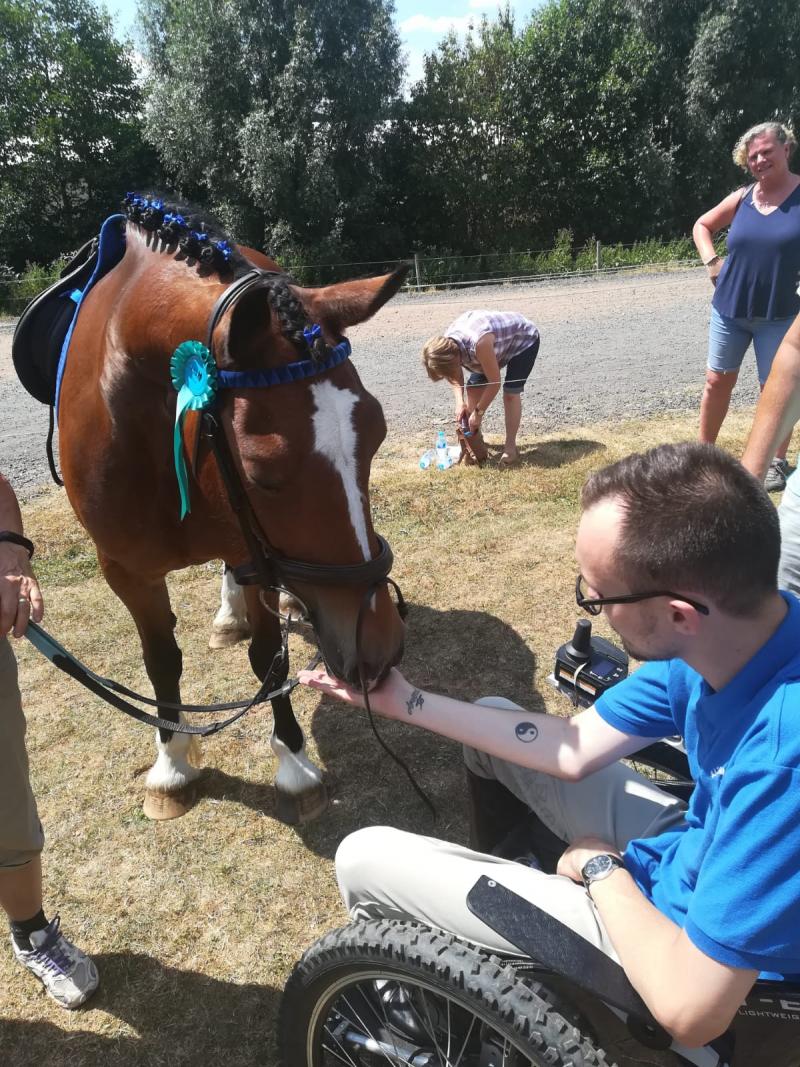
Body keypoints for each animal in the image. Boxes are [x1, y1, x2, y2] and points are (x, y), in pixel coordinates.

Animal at [57, 198, 407, 815]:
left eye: (377, 438)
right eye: (263, 475)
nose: (378, 646)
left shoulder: (254, 553)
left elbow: (270, 659)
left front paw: (292, 762)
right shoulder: (125, 571)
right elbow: (161, 660)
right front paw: (171, 766)